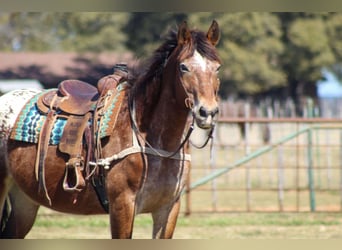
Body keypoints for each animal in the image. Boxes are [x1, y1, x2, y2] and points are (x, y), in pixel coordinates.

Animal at [0, 21, 222, 238]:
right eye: (183, 67)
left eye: (218, 68)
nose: (207, 112)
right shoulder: (122, 205)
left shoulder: (168, 208)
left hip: (25, 200)